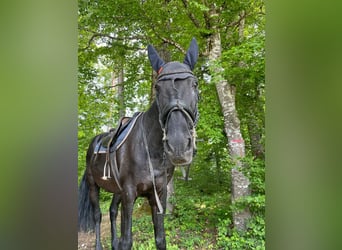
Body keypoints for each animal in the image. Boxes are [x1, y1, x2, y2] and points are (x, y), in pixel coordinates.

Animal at [78, 38, 199, 249]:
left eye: (194, 84)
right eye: (157, 88)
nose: (178, 146)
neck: (151, 151)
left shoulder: (159, 194)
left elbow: (160, 239)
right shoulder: (129, 193)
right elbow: (127, 240)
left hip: (116, 190)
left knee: (112, 211)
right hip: (94, 186)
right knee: (97, 215)